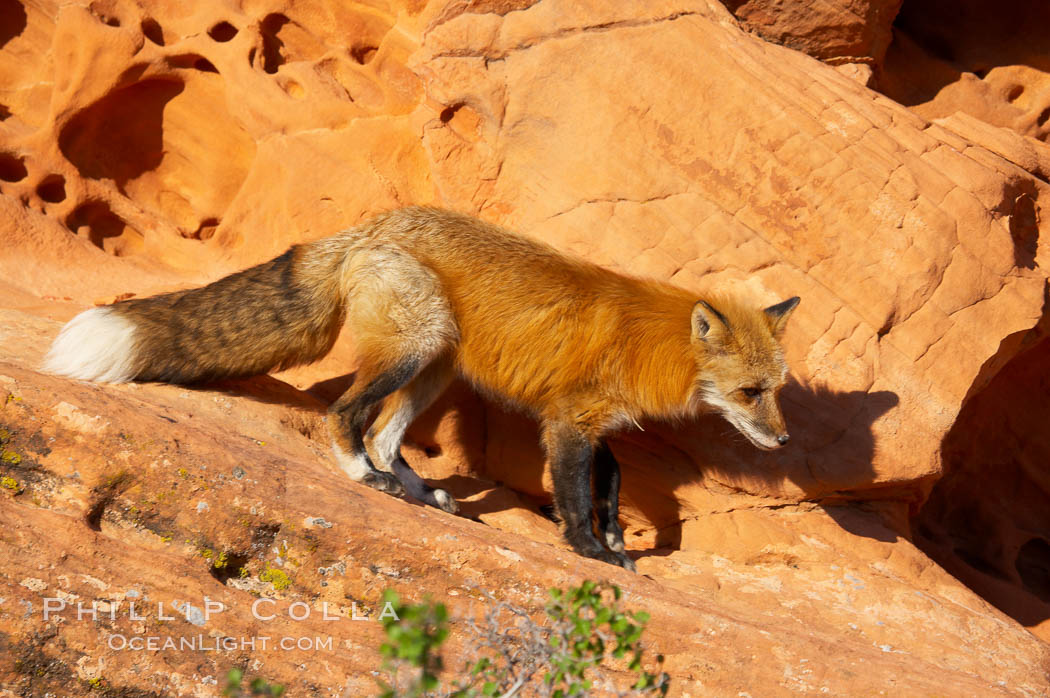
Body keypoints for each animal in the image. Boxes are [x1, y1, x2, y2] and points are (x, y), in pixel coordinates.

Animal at [43, 204, 793, 570]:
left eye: (778, 387)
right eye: (752, 392)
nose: (785, 440)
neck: (652, 341)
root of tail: (375, 222)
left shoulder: (593, 422)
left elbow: (609, 487)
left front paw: (614, 544)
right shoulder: (570, 421)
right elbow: (577, 496)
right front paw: (590, 551)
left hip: (436, 368)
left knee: (384, 434)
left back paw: (418, 492)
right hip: (418, 348)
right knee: (347, 414)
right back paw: (360, 476)